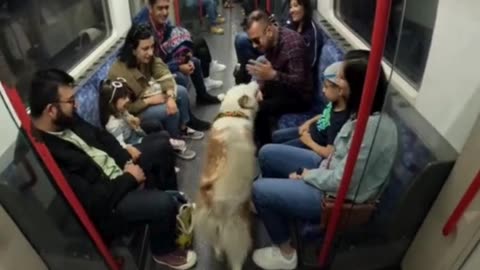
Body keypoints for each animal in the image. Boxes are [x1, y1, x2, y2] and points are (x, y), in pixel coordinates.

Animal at [194, 81, 258, 270]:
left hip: (212, 225)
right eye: (249, 88)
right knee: (236, 259)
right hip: (238, 229)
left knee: (217, 244)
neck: (234, 113)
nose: (255, 80)